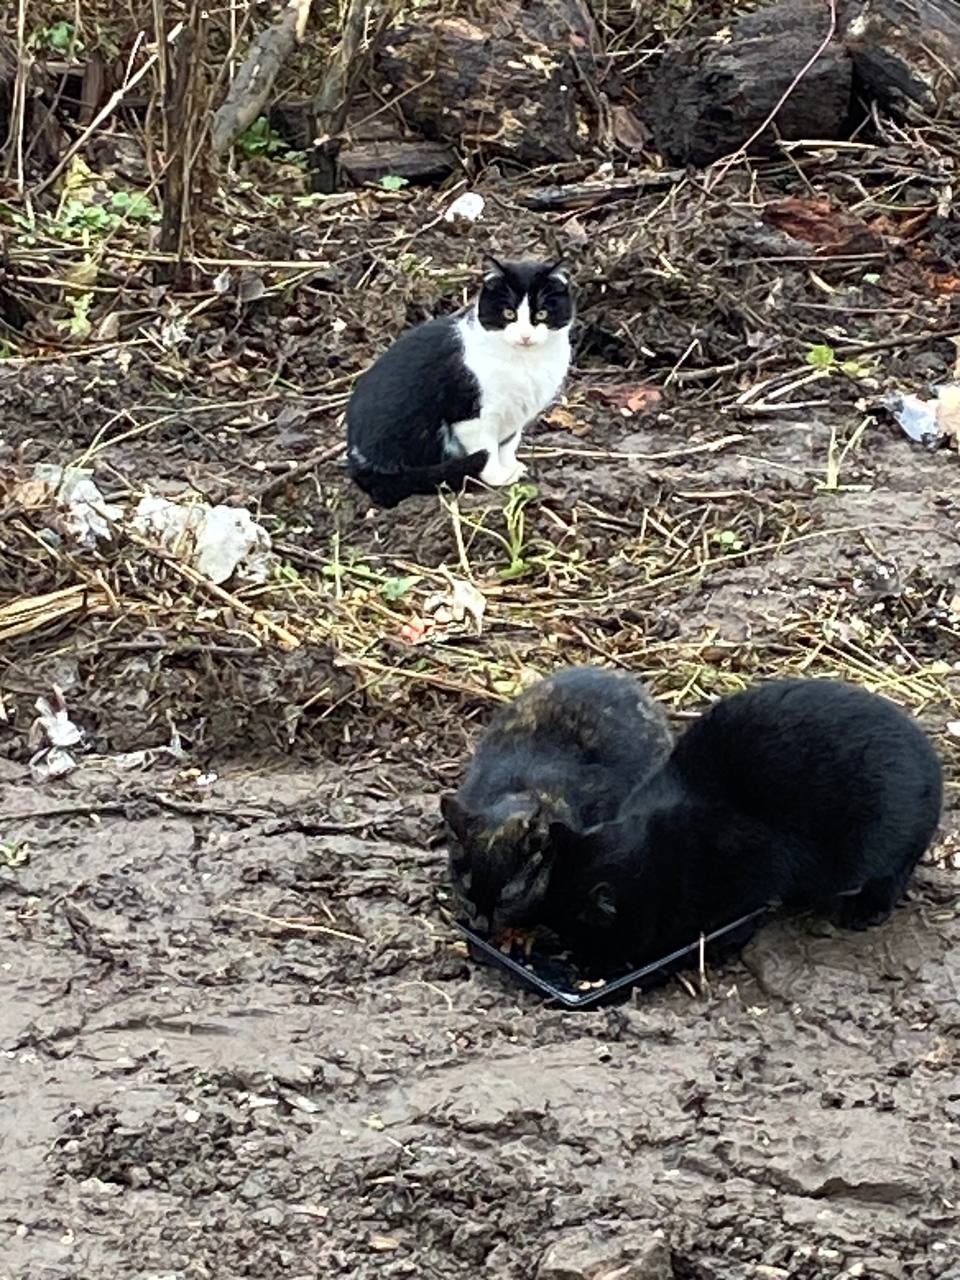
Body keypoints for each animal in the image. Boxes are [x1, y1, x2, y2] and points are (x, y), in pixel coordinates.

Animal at [345, 256, 574, 508]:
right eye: (508, 314)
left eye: (541, 314)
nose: (525, 336)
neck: (525, 362)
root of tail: (357, 461)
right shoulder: (470, 415)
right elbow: (488, 449)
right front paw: (497, 477)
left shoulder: (515, 415)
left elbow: (508, 444)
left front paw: (512, 468)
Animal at [547, 677, 943, 971]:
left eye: (583, 941)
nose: (582, 963)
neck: (663, 852)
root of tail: (932, 762)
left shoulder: (748, 876)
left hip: (884, 845)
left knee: (893, 876)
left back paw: (866, 910)